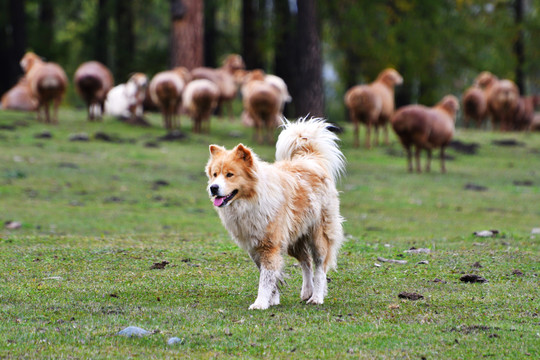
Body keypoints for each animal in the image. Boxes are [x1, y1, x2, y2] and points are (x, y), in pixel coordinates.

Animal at [207, 117, 346, 310]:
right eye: (214, 174)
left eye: (229, 175)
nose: (213, 188)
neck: (250, 201)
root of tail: (310, 159)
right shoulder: (255, 247)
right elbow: (269, 276)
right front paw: (272, 300)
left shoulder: (269, 246)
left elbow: (265, 278)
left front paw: (260, 303)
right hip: (294, 240)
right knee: (306, 263)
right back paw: (307, 291)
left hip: (318, 237)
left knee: (319, 268)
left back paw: (316, 297)